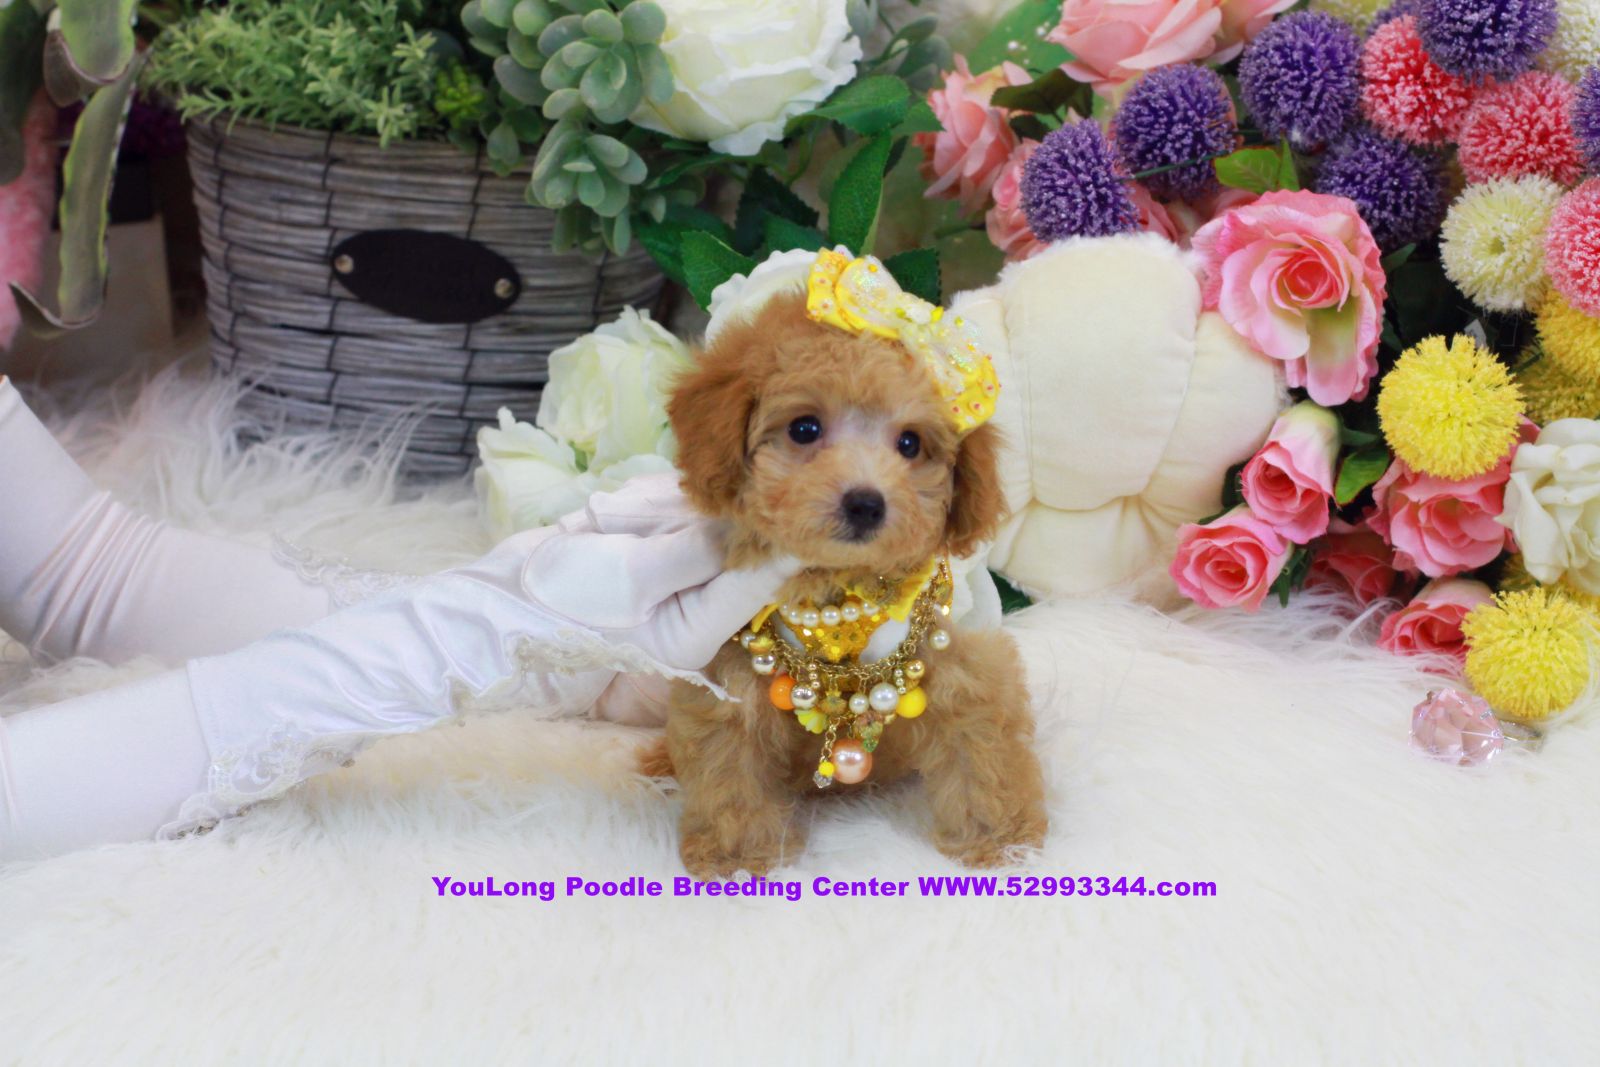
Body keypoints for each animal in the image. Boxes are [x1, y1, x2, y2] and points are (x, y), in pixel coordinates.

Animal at [658, 289, 1047, 879]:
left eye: (910, 443)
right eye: (803, 429)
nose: (866, 502)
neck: (841, 593)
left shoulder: (961, 665)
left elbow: (980, 749)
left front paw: (1004, 842)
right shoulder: (727, 682)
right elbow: (729, 770)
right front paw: (737, 858)